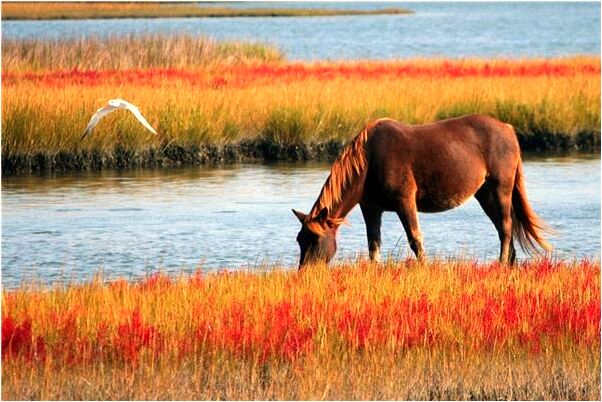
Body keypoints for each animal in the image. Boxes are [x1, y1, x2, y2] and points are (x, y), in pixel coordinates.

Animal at [292, 114, 552, 268]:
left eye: (315, 239)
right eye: (299, 239)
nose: (305, 273)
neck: (369, 162)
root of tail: (508, 129)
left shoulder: (405, 202)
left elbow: (415, 239)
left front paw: (423, 268)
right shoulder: (371, 208)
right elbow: (373, 244)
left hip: (501, 187)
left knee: (506, 226)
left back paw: (501, 263)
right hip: (484, 193)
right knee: (502, 227)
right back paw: (510, 264)